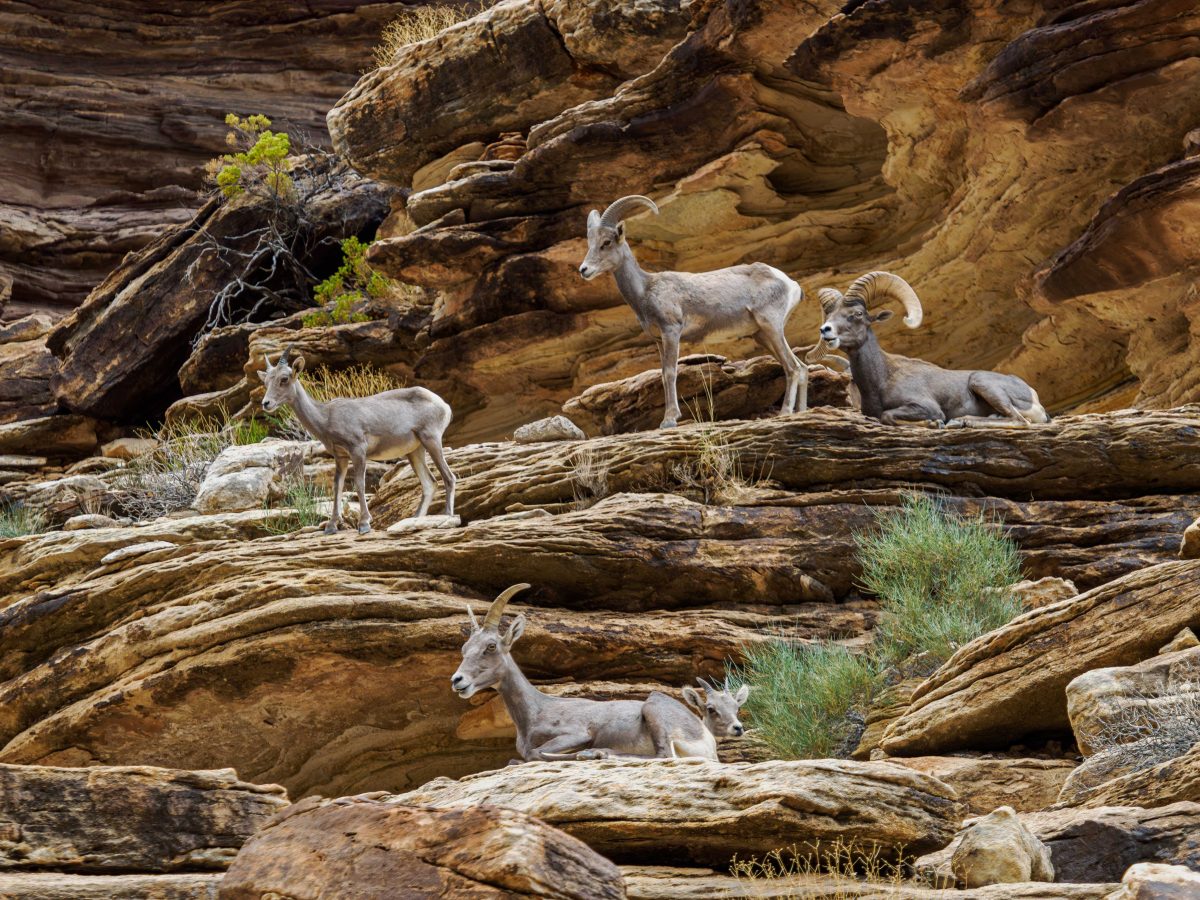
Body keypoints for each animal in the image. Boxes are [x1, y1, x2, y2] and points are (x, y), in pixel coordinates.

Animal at [257, 345, 456, 534]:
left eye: (284, 379)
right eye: (266, 381)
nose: (266, 403)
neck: (326, 417)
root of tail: (444, 405)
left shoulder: (358, 450)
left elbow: (359, 484)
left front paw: (364, 524)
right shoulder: (341, 457)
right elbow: (337, 486)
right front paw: (331, 527)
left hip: (431, 440)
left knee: (449, 477)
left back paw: (447, 516)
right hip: (415, 451)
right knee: (430, 483)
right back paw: (415, 520)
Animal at [450, 584, 719, 761]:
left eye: (491, 646)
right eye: (464, 648)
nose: (457, 680)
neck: (537, 711)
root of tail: (705, 738)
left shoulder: (576, 733)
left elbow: (537, 753)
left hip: (653, 708)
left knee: (663, 755)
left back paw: (598, 753)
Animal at [578, 195, 808, 429]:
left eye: (607, 242)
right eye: (590, 243)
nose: (583, 270)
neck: (646, 290)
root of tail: (790, 284)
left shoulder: (671, 331)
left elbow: (670, 373)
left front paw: (669, 420)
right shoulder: (660, 340)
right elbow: (663, 374)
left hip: (771, 327)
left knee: (793, 368)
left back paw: (785, 412)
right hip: (762, 335)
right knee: (802, 367)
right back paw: (801, 411)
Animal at [813, 272, 1049, 427]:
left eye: (858, 313)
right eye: (829, 315)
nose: (825, 330)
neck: (882, 379)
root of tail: (1032, 394)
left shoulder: (926, 407)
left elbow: (888, 416)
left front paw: (933, 424)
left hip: (982, 382)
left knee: (1021, 421)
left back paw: (960, 422)